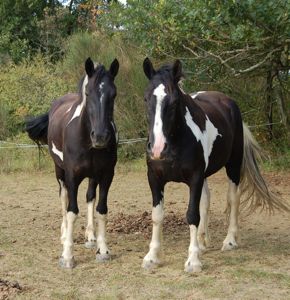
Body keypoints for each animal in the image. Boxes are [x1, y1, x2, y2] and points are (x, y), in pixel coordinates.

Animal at [25, 58, 119, 268]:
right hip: (60, 173)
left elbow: (101, 209)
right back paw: (63, 234)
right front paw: (67, 255)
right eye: (88, 93)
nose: (100, 136)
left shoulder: (106, 175)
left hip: (93, 176)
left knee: (90, 197)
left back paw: (90, 237)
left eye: (114, 94)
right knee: (64, 197)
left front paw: (103, 250)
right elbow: (71, 211)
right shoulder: (72, 176)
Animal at [141, 57, 288, 274]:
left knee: (233, 199)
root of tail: (227, 101)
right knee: (206, 201)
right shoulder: (155, 178)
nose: (158, 149)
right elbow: (157, 216)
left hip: (233, 166)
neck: (178, 139)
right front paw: (152, 257)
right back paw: (202, 242)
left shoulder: (194, 177)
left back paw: (229, 241)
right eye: (146, 99)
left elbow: (192, 215)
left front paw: (193, 261)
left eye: (175, 101)